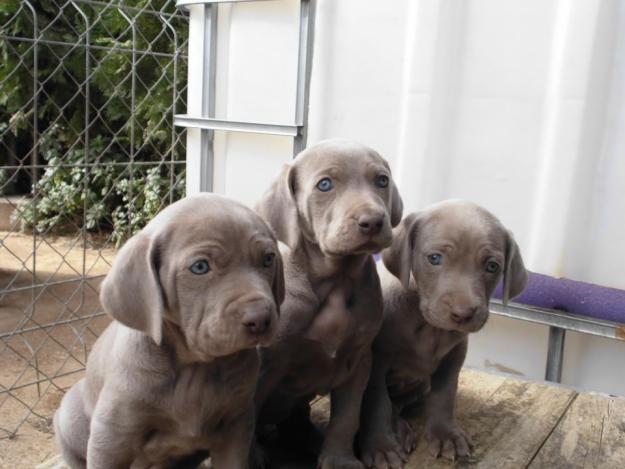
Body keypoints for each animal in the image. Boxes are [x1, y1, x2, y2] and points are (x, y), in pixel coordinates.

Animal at [54, 194, 284, 468]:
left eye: (268, 259)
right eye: (200, 267)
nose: (260, 319)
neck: (195, 367)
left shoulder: (237, 424)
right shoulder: (110, 436)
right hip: (68, 417)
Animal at [255, 138, 404, 464]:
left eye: (382, 181)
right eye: (325, 184)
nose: (373, 221)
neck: (338, 280)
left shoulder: (359, 359)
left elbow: (347, 418)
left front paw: (339, 460)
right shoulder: (264, 366)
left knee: (297, 420)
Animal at [356, 199, 528, 466]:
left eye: (492, 266)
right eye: (434, 258)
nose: (463, 313)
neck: (429, 326)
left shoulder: (453, 357)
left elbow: (444, 396)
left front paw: (446, 435)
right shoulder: (376, 362)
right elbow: (377, 403)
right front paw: (380, 447)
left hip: (419, 385)